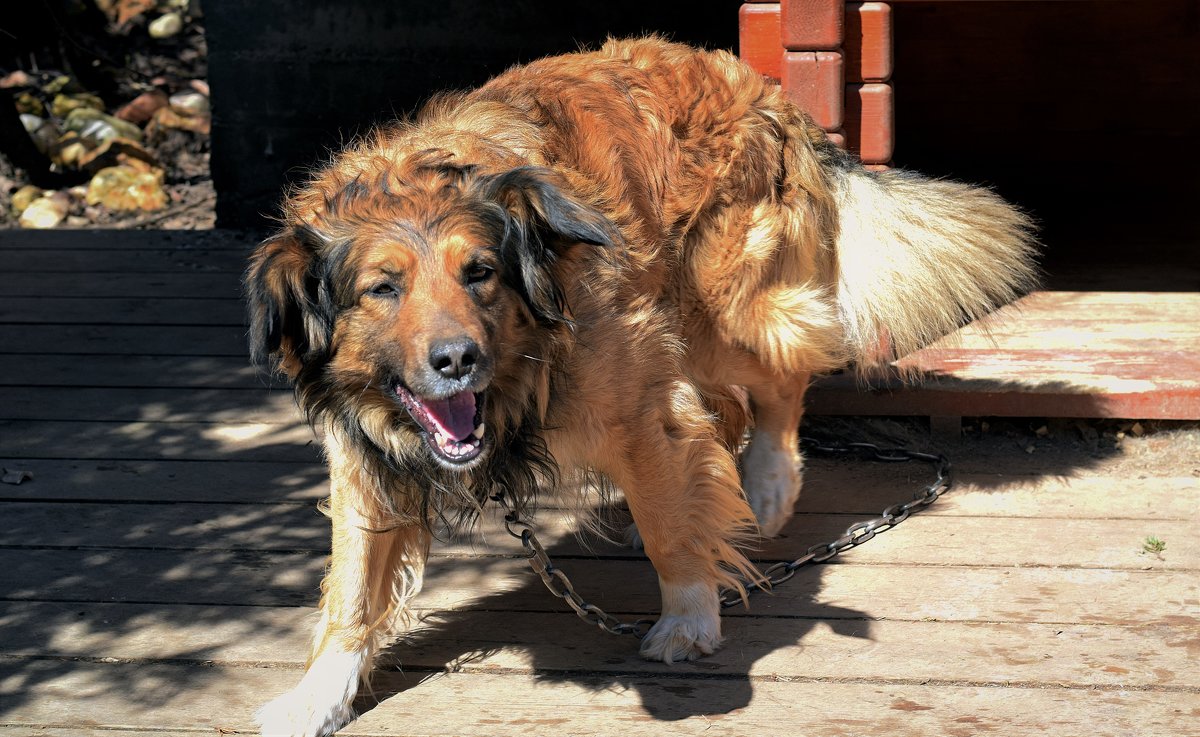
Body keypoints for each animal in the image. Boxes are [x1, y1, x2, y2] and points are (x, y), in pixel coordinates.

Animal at [241, 37, 1032, 734]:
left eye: (480, 273)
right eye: (382, 289)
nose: (457, 359)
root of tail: (758, 83)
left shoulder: (637, 405)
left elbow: (668, 525)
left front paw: (688, 616)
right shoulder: (366, 462)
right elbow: (351, 587)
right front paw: (318, 696)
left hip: (724, 311)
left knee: (783, 376)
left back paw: (768, 486)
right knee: (726, 415)